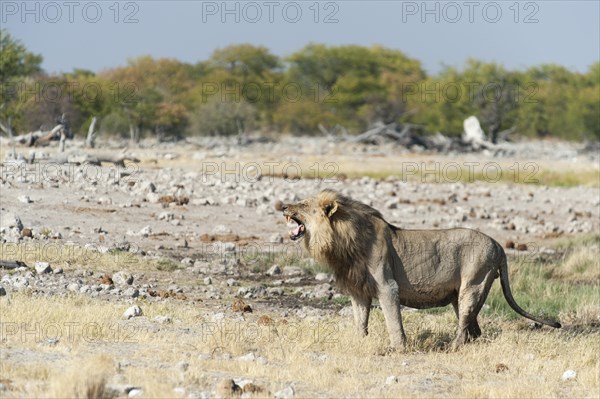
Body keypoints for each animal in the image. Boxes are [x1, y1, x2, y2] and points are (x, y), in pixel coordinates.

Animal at [278, 191, 564, 350]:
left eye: (303, 205)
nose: (283, 207)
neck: (342, 240)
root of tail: (498, 244)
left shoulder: (387, 286)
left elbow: (393, 321)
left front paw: (398, 348)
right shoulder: (358, 291)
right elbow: (360, 321)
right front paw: (358, 342)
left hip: (474, 285)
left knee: (464, 326)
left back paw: (450, 348)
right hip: (462, 294)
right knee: (474, 329)